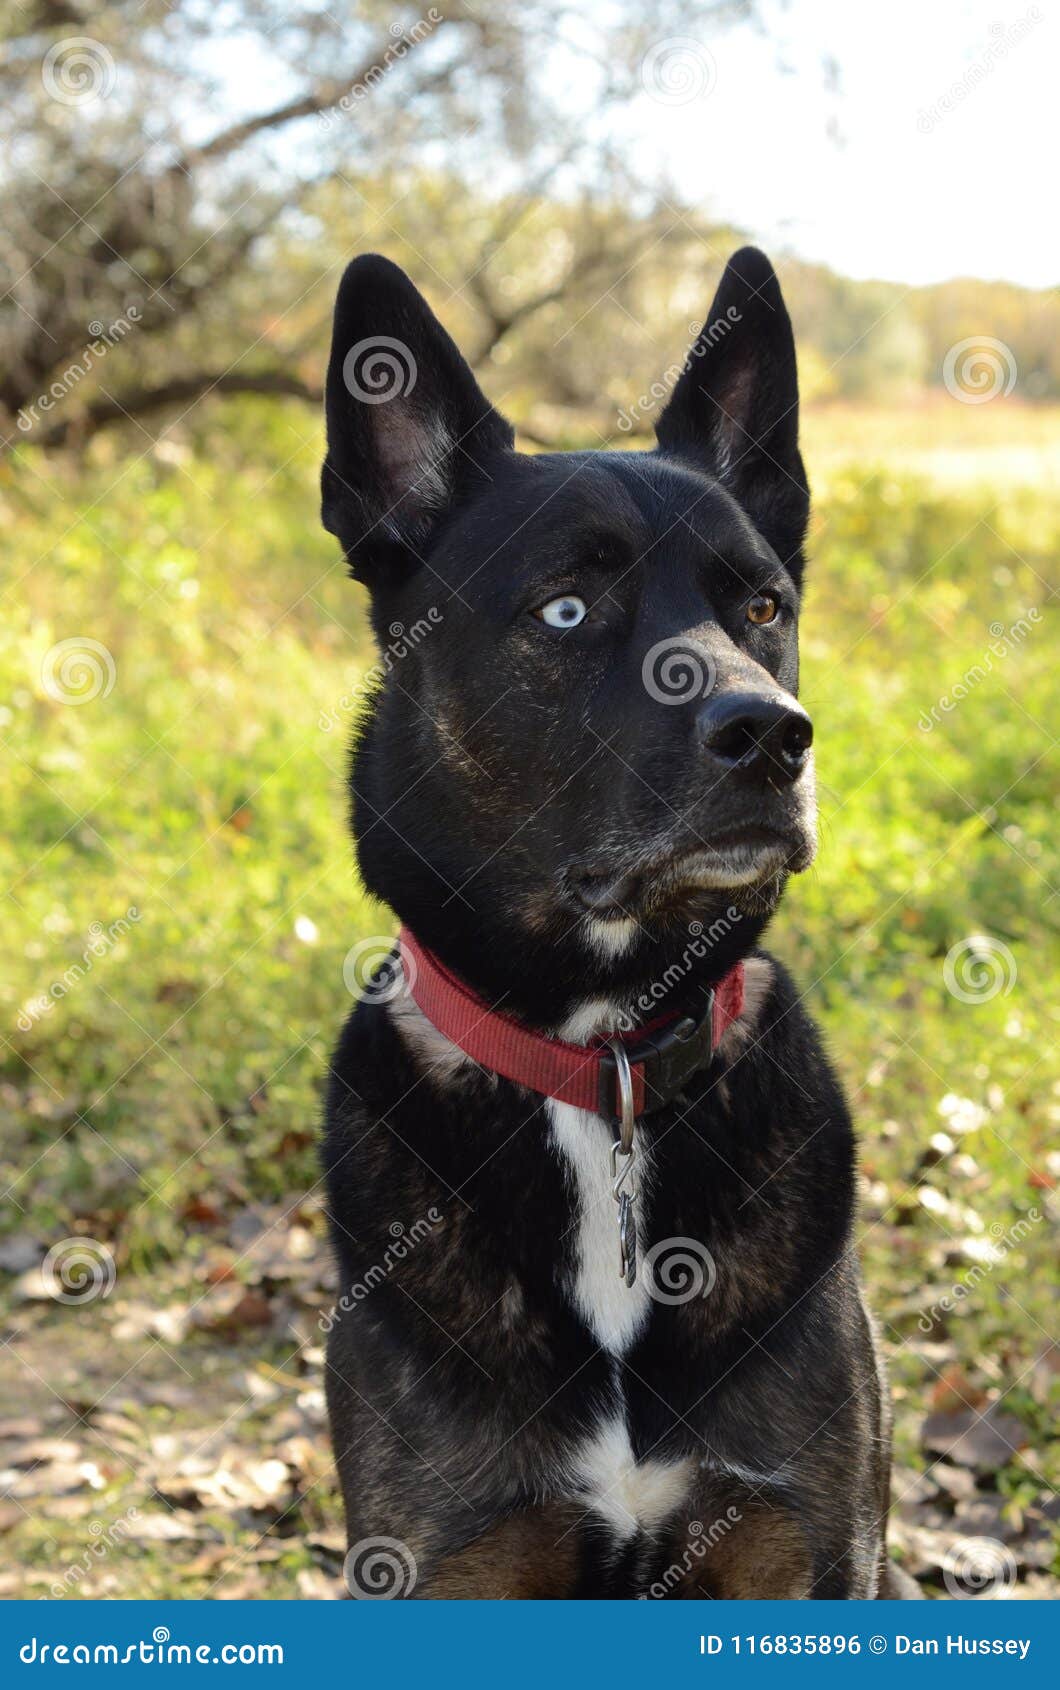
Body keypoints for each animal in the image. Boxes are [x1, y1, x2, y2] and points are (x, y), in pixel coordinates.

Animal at [319, 246, 919, 1595]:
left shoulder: (805, 1547)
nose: (772, 736)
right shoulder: (451, 1556)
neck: (602, 1064)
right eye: (564, 611)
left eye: (762, 608)